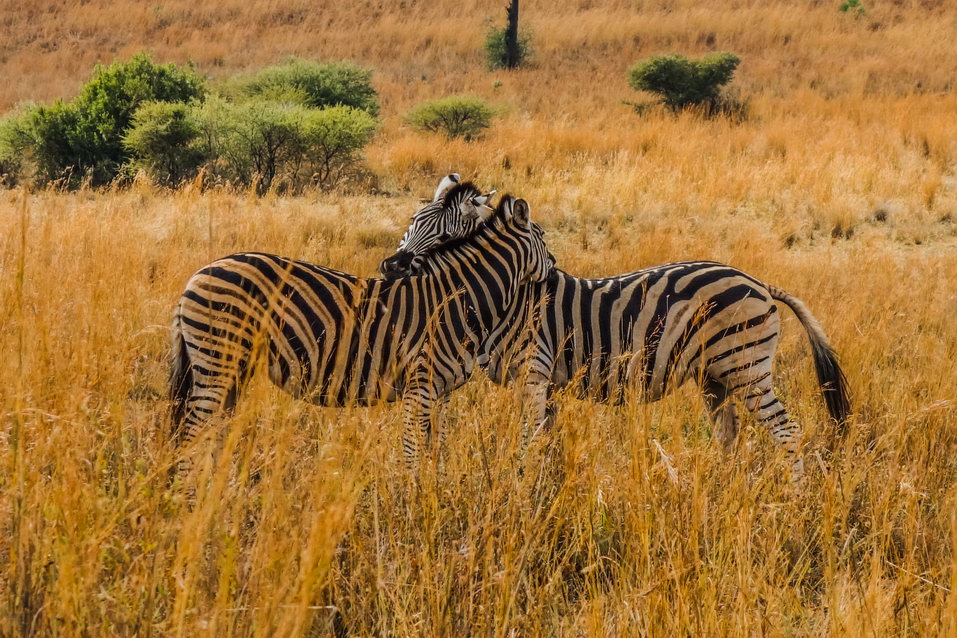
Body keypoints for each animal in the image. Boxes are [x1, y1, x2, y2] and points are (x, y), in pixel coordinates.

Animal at [168, 180, 548, 480]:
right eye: (414, 221)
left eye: (445, 234)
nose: (392, 267)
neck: (458, 296)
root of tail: (198, 274)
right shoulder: (420, 385)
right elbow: (412, 451)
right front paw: (412, 503)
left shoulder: (440, 391)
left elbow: (433, 448)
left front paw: (433, 496)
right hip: (217, 359)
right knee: (192, 431)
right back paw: (189, 502)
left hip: (233, 367)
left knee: (213, 431)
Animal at [378, 182, 848, 482]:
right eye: (412, 221)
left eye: (443, 233)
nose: (390, 267)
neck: (510, 300)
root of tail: (758, 283)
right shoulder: (547, 380)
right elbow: (547, 438)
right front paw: (554, 489)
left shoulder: (533, 371)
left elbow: (530, 439)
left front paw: (526, 489)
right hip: (714, 376)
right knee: (728, 435)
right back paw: (723, 490)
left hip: (746, 366)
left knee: (786, 431)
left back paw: (795, 499)